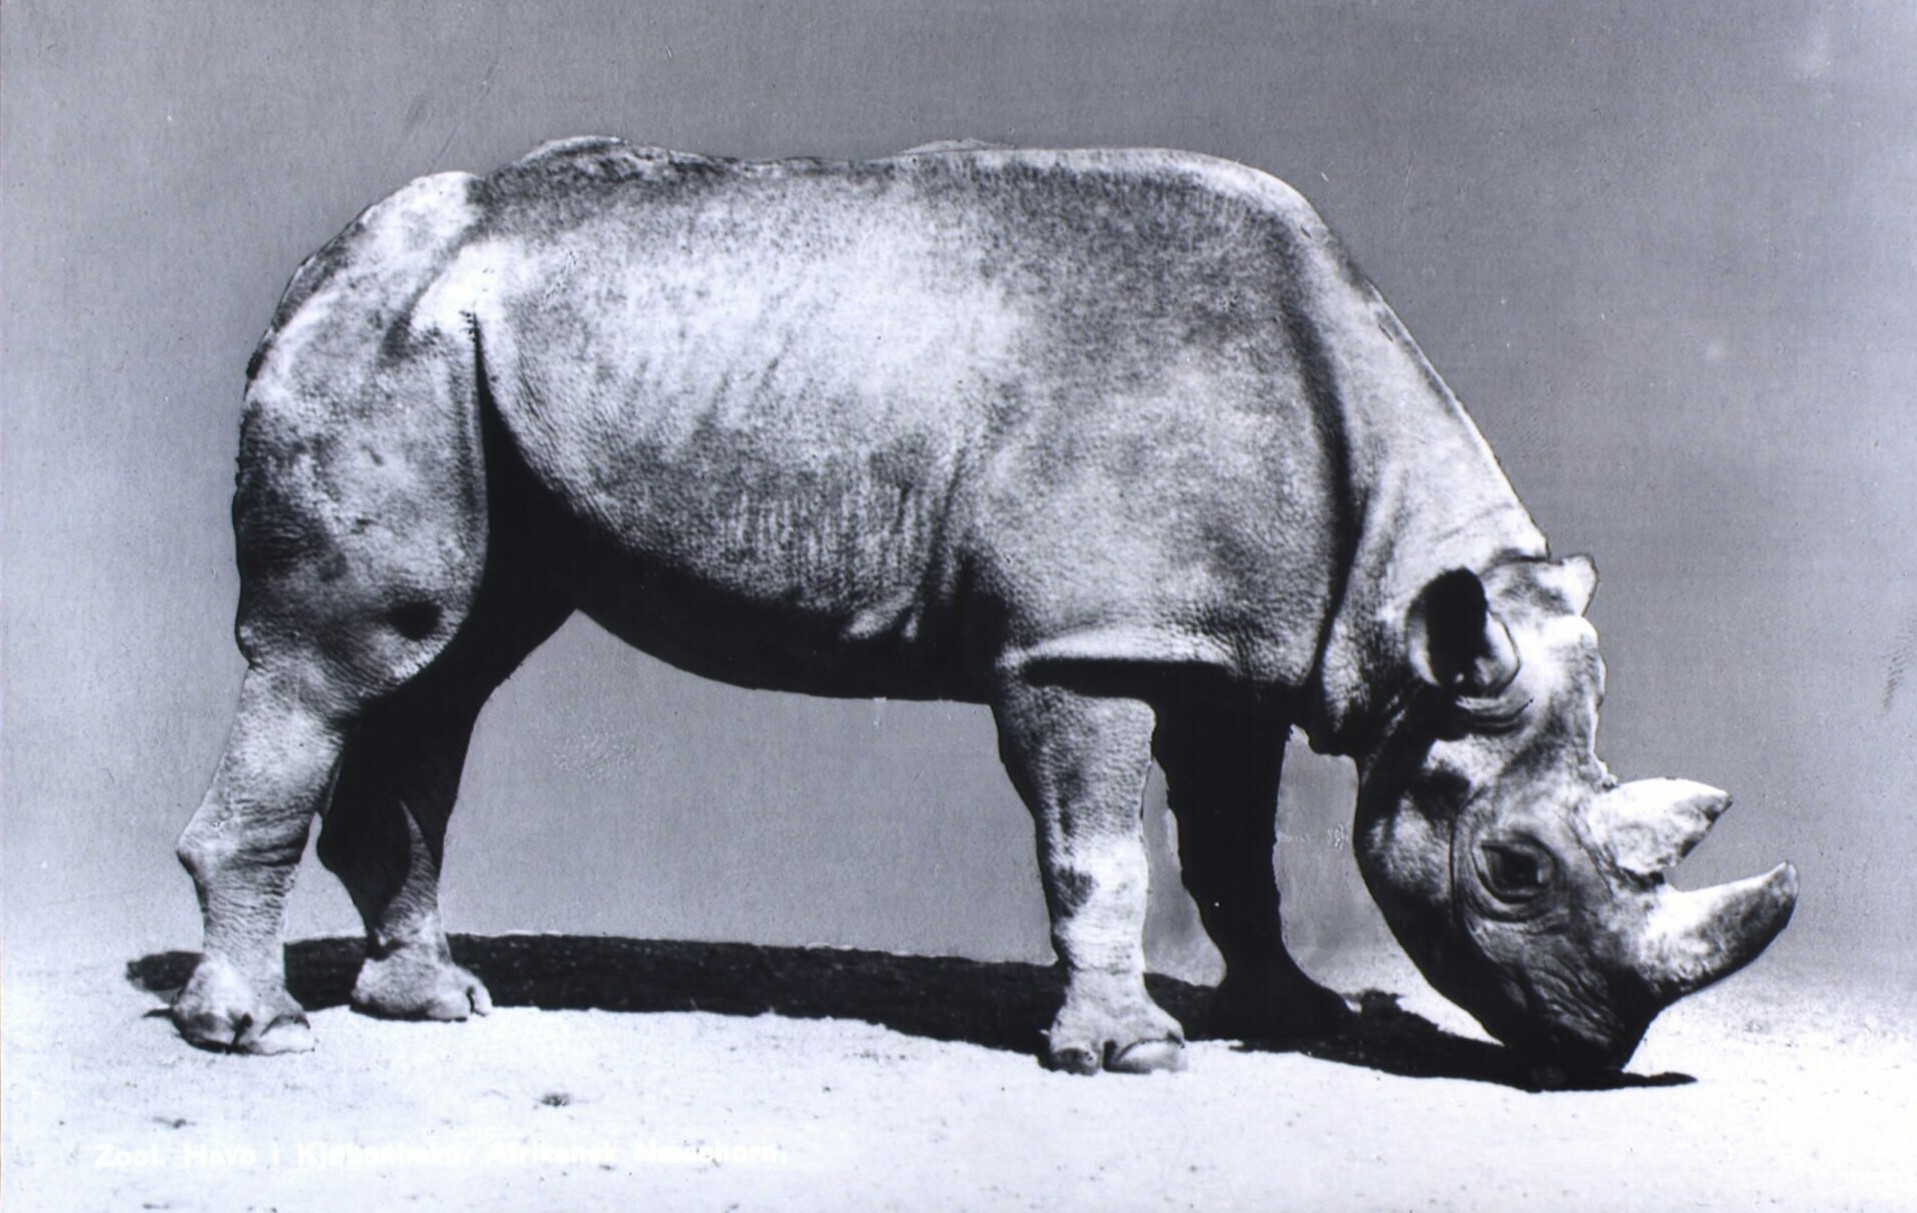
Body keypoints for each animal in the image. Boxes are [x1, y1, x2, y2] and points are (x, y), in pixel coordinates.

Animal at [173, 138, 1797, 1080]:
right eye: (1513, 870)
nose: (1597, 1054)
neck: (1407, 611)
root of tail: (321, 259)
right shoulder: (1080, 646)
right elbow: (1103, 849)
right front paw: (1130, 1054)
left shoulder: (1222, 648)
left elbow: (1234, 852)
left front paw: (1294, 1017)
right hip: (391, 344)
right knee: (343, 660)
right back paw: (257, 1033)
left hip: (464, 361)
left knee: (447, 665)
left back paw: (433, 1002)